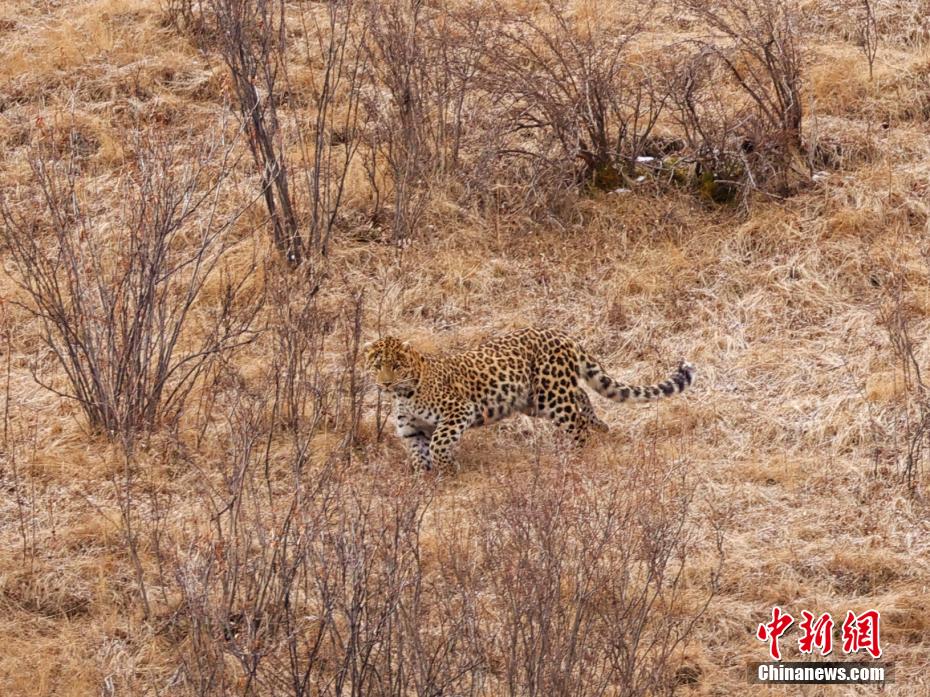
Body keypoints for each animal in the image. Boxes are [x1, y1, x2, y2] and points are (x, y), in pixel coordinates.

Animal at [364, 327, 695, 471]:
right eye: (377, 364)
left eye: (396, 365)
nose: (385, 382)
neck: (404, 393)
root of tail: (563, 335)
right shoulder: (411, 431)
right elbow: (419, 453)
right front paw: (426, 481)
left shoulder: (458, 411)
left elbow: (438, 444)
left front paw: (446, 469)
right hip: (536, 399)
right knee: (581, 396)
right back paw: (599, 425)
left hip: (551, 393)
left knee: (575, 422)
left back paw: (574, 456)